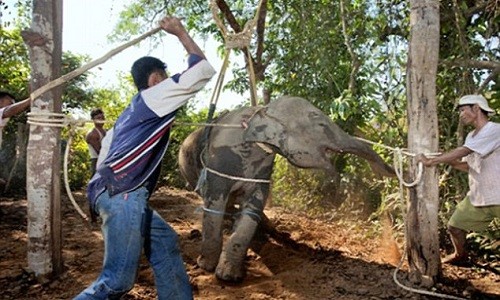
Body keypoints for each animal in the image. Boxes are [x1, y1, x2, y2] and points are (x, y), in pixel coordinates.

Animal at [178, 95, 396, 282]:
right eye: (321, 125)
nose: (390, 171)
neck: (261, 111)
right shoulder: (219, 162)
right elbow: (214, 204)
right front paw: (206, 266)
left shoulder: (263, 170)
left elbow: (253, 209)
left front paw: (230, 276)